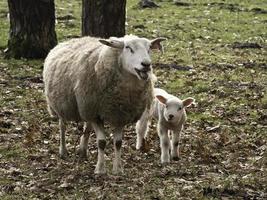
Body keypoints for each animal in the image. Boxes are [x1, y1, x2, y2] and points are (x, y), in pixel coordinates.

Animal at [43, 35, 166, 174]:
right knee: (62, 126)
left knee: (87, 128)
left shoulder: (120, 115)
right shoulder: (96, 115)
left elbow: (118, 142)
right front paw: (100, 169)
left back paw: (83, 150)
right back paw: (63, 151)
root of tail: (72, 40)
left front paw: (118, 169)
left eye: (149, 48)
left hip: (87, 108)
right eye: (128, 47)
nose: (146, 64)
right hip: (62, 104)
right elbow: (101, 142)